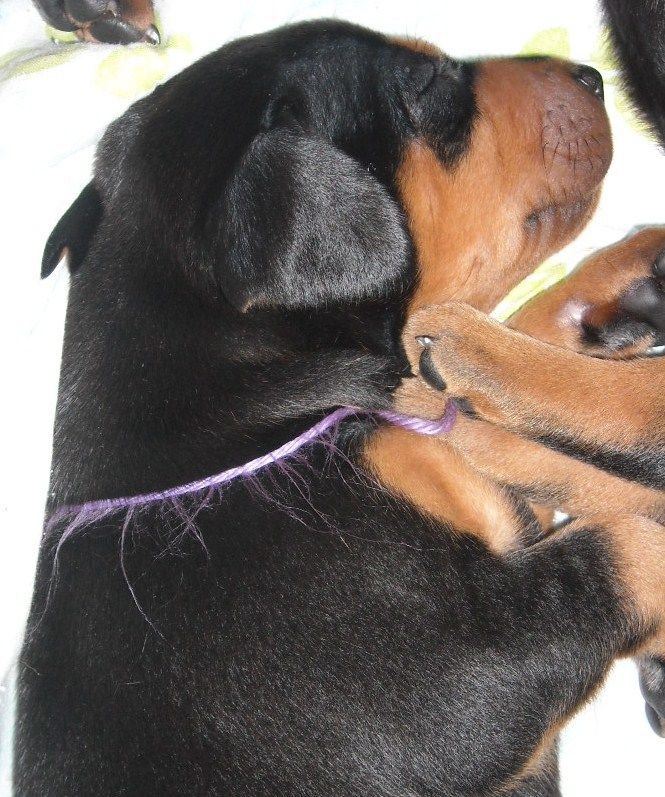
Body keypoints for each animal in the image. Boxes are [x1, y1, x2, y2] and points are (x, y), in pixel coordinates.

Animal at [15, 7, 660, 796]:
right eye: (423, 84)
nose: (592, 76)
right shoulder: (452, 685)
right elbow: (621, 547)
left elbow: (487, 357)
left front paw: (621, 277)